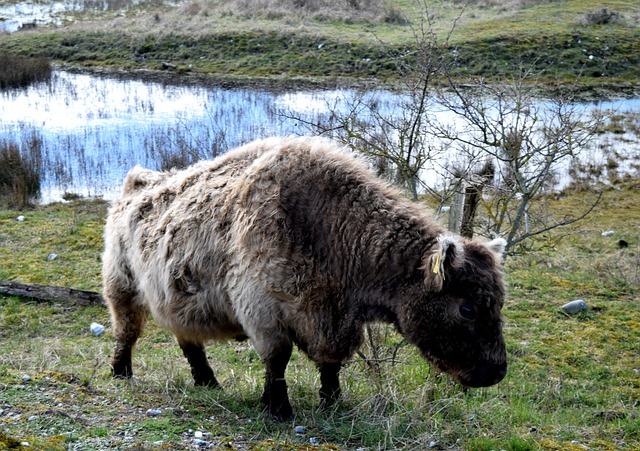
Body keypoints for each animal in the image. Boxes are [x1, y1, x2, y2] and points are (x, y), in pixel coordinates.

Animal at [102, 134, 508, 420]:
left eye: (498, 305)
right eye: (467, 309)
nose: (497, 372)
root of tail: (138, 183)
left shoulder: (333, 322)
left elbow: (330, 364)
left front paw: (332, 402)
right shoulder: (263, 310)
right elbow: (277, 359)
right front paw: (277, 408)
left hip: (175, 300)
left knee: (188, 340)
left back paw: (208, 381)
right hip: (121, 287)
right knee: (127, 331)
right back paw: (121, 372)